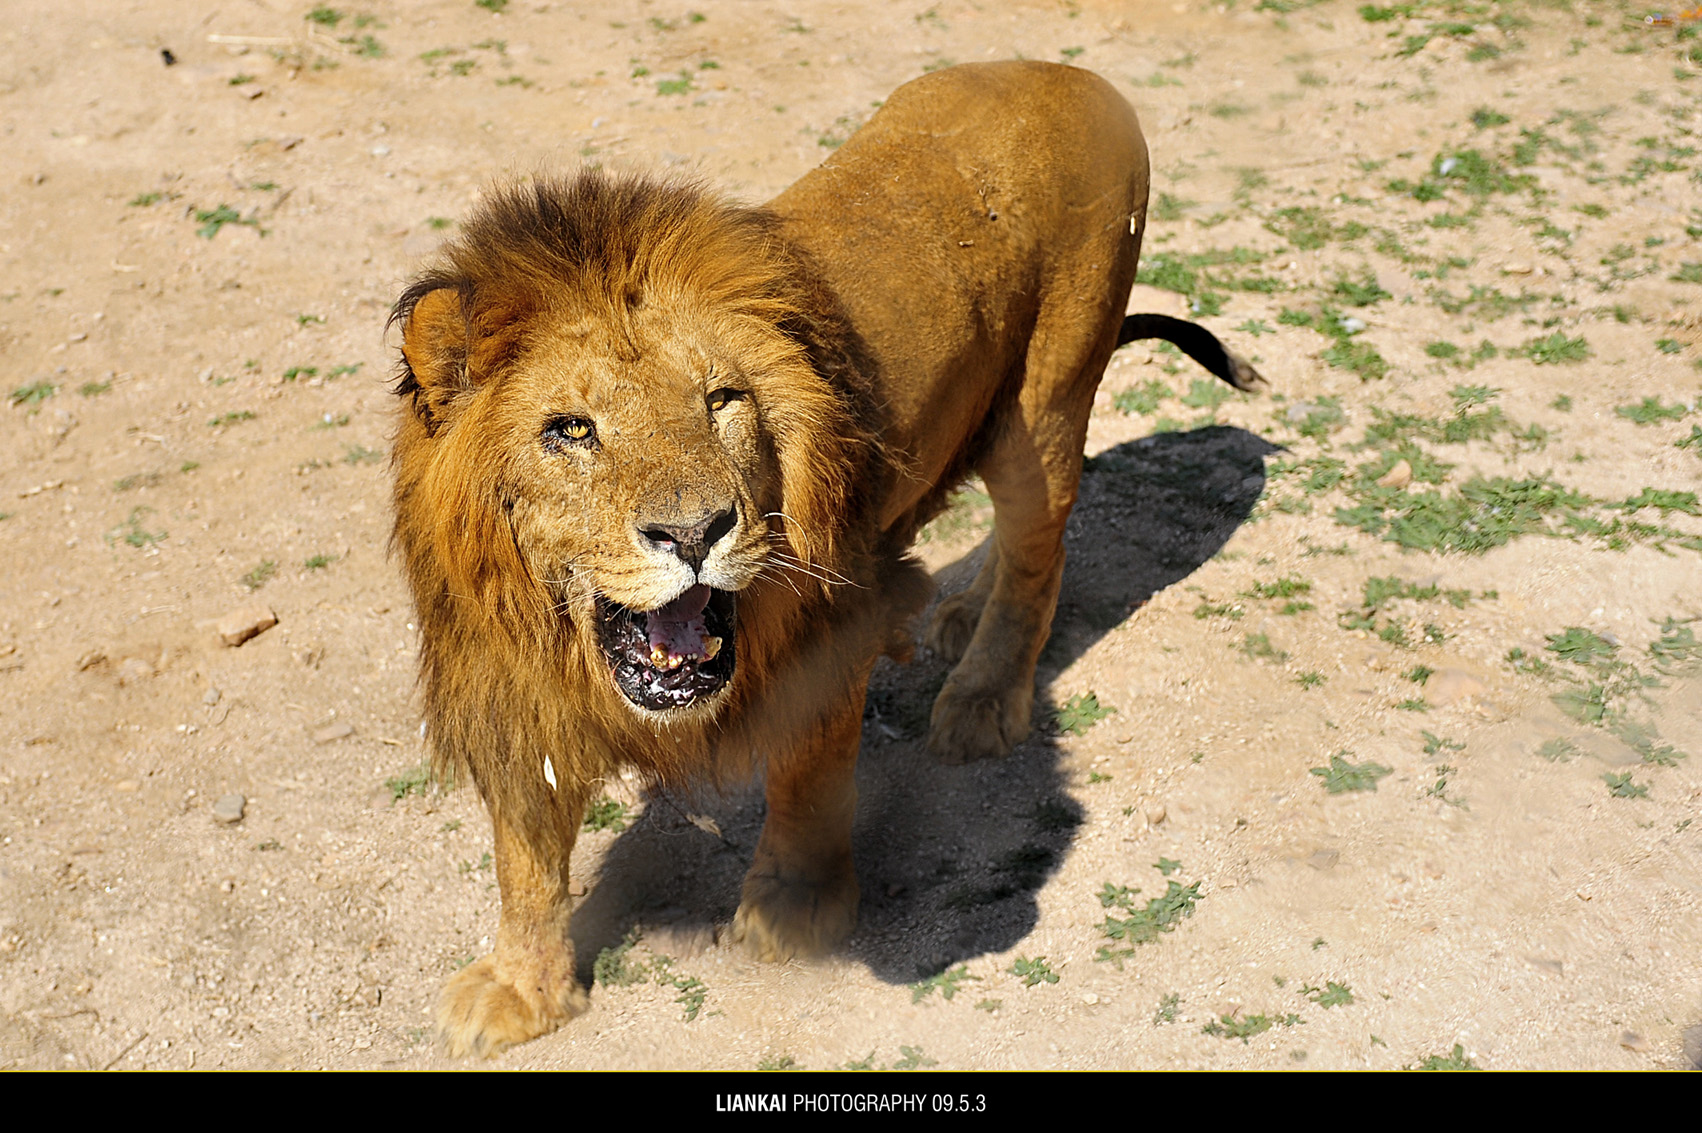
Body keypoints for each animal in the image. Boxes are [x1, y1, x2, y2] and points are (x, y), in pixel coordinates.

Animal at [389, 60, 1263, 1058]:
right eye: (570, 430)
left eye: (721, 399)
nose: (696, 532)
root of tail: (1076, 75)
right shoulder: (510, 684)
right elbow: (524, 855)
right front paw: (522, 988)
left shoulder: (839, 621)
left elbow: (808, 778)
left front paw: (794, 915)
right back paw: (961, 607)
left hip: (1043, 404)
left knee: (1043, 552)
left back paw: (982, 697)